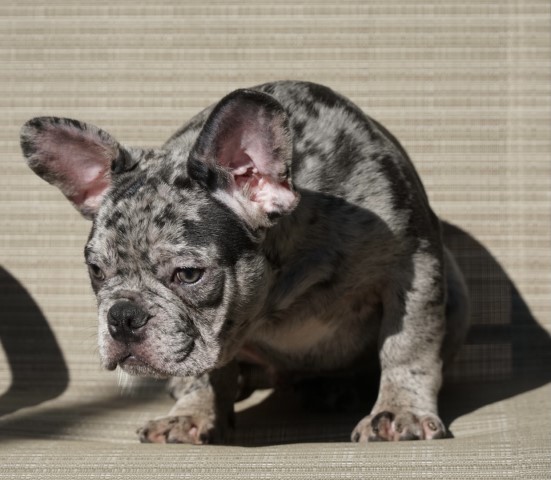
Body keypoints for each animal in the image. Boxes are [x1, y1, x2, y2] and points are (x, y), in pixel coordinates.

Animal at [20, 81, 470, 442]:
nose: (123, 316)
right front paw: (193, 413)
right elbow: (205, 369)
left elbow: (407, 344)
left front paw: (400, 410)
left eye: (189, 274)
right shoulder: (209, 340)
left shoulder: (413, 264)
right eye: (96, 272)